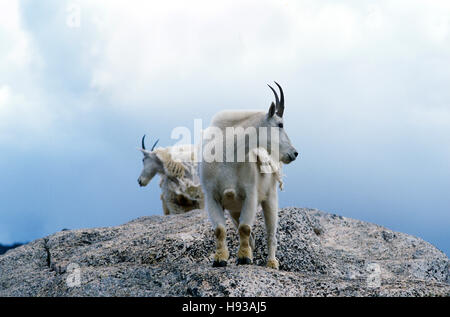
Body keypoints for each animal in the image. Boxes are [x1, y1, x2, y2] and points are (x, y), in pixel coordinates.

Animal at [200, 82, 298, 270]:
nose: (294, 153)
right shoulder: (212, 197)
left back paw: (272, 263)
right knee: (251, 236)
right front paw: (220, 260)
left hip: (270, 197)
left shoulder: (250, 194)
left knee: (271, 234)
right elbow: (220, 230)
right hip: (234, 210)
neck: (228, 154)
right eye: (280, 124)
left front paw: (244, 258)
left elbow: (245, 228)